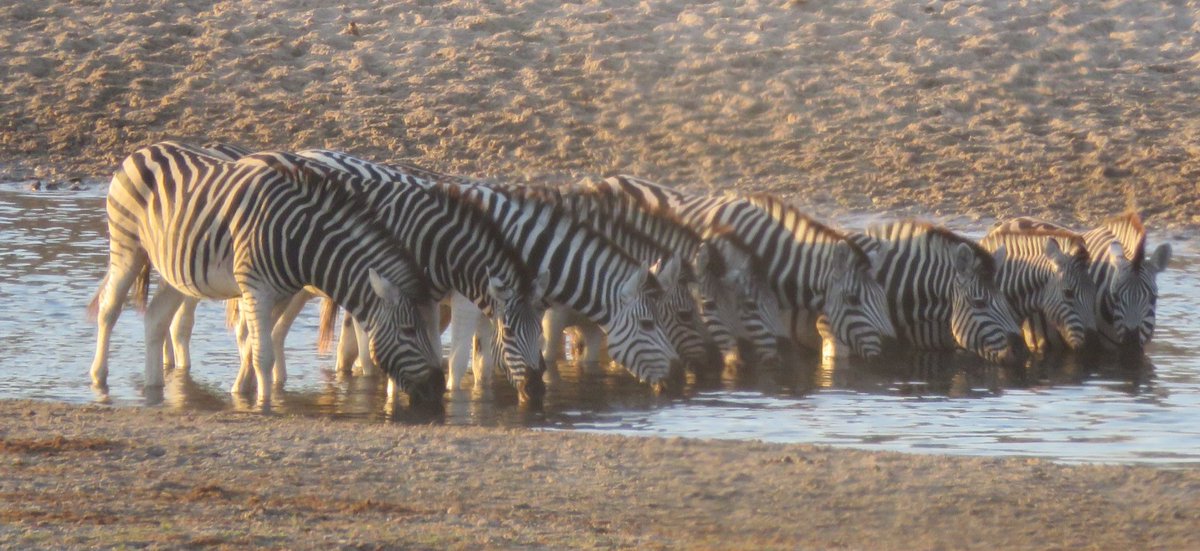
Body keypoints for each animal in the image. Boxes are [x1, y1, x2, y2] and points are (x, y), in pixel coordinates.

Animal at [85, 141, 441, 405]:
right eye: (409, 330)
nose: (434, 390)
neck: (299, 238)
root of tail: (144, 149)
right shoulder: (256, 288)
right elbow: (262, 354)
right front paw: (264, 404)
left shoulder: (278, 293)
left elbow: (256, 345)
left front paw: (246, 393)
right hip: (127, 246)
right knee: (109, 309)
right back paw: (98, 378)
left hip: (177, 269)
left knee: (156, 317)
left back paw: (154, 387)